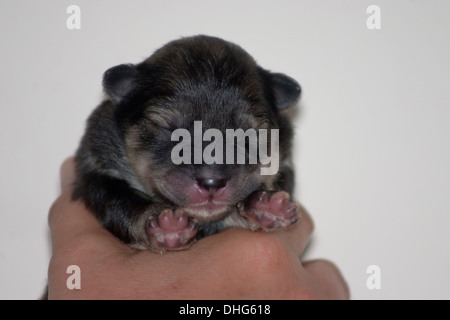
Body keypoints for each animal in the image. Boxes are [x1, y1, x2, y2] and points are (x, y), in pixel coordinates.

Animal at [74, 34, 302, 250]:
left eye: (248, 134)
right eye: (171, 128)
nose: (211, 182)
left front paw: (266, 207)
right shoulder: (97, 165)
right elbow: (122, 201)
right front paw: (166, 227)